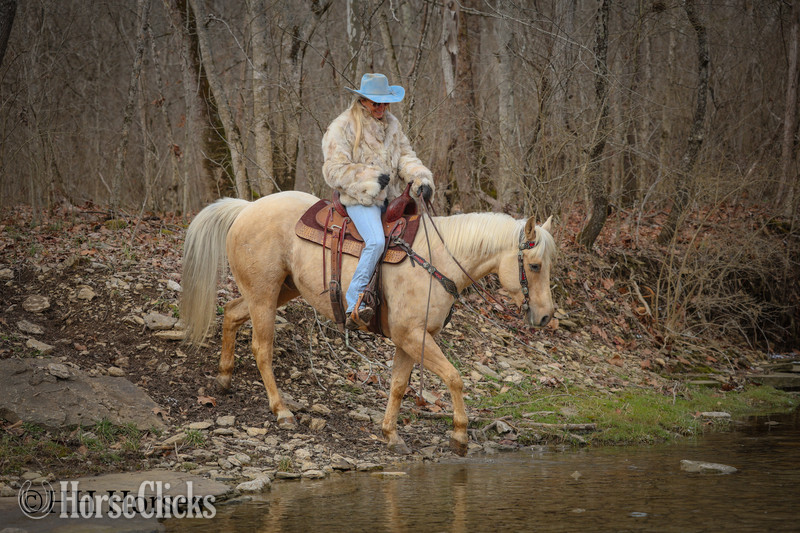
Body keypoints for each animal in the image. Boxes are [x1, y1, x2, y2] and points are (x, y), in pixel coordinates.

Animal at [180, 191, 556, 456]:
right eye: (535, 265)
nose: (546, 316)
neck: (436, 261)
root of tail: (246, 208)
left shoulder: (410, 340)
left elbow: (399, 386)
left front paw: (391, 435)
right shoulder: (413, 335)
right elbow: (454, 378)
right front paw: (460, 435)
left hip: (279, 291)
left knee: (230, 312)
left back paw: (224, 378)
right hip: (264, 296)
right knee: (262, 349)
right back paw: (281, 411)